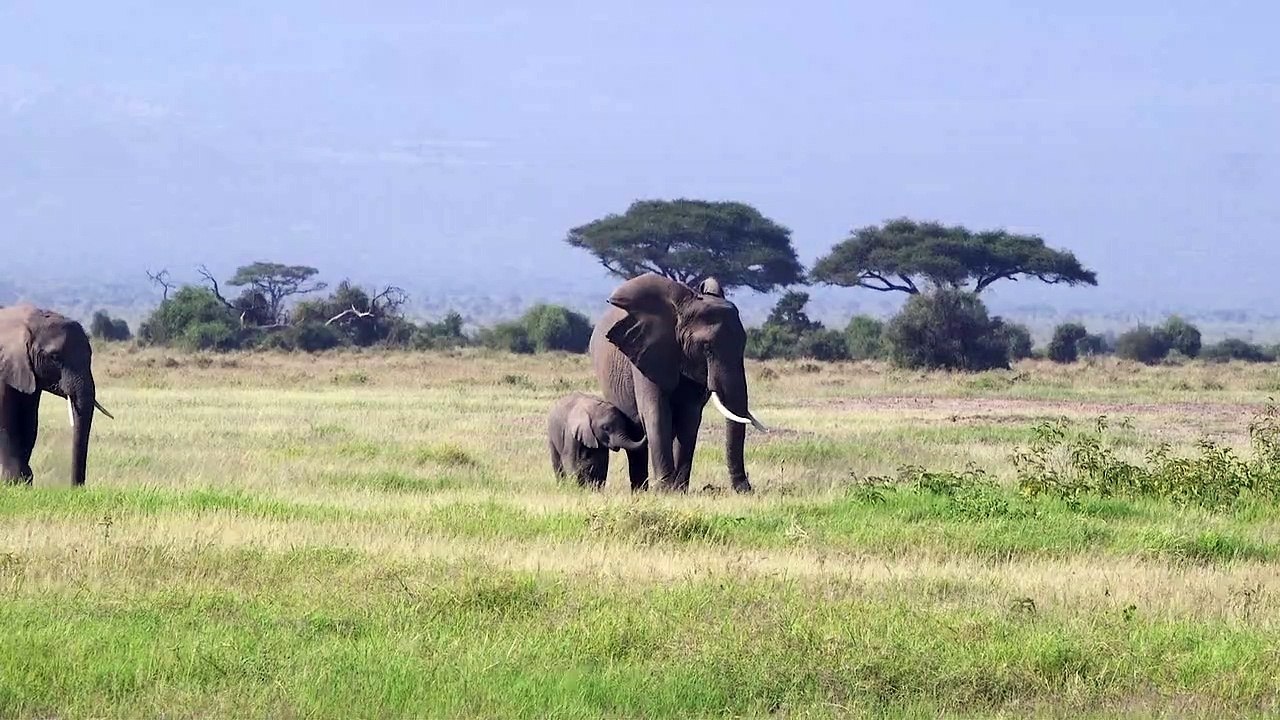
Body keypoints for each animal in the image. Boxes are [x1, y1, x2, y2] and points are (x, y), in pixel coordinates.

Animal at [1, 304, 114, 486]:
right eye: (54, 357)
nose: (77, 488)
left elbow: (29, 422)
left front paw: (25, 481)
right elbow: (6, 421)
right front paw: (13, 482)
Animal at [589, 273, 766, 493]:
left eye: (744, 345)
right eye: (707, 349)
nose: (746, 488)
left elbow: (689, 418)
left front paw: (679, 490)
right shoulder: (646, 354)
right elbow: (656, 413)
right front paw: (665, 490)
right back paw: (641, 490)